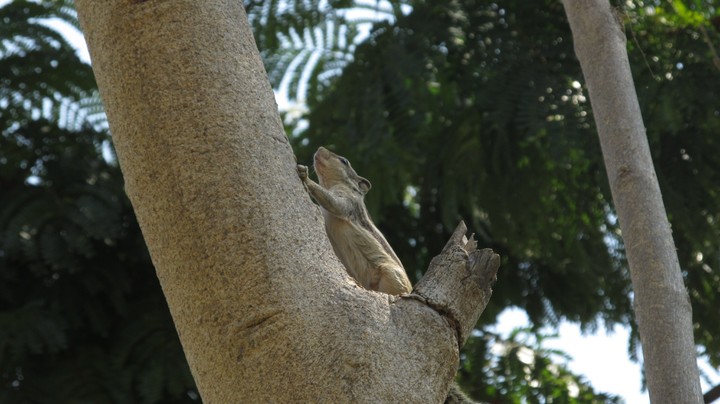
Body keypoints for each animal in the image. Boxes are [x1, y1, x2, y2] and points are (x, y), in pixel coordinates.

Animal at [297, 146, 412, 295]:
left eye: (344, 161)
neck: (329, 185)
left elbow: (336, 204)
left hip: (390, 272)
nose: (320, 148)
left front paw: (305, 177)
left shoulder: (350, 200)